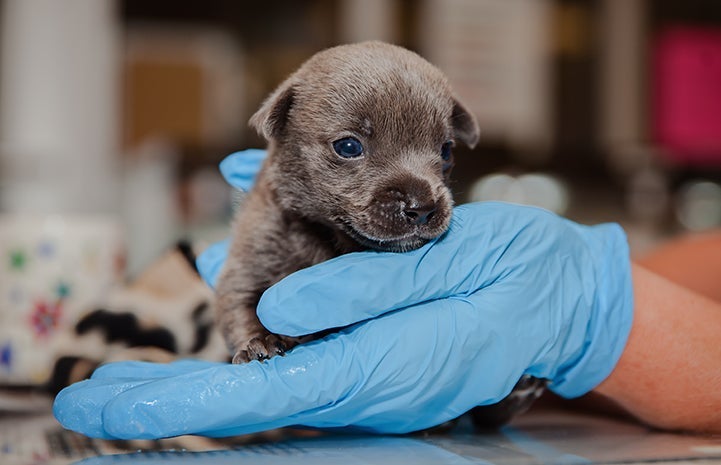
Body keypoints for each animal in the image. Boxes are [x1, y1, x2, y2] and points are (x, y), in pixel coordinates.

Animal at [217, 41, 480, 362]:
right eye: (349, 146)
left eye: (446, 150)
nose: (422, 207)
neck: (330, 239)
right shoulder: (251, 256)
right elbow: (241, 302)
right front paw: (259, 343)